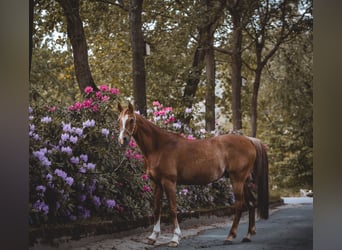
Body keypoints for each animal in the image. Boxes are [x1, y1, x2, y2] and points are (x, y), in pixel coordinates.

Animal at [117, 102, 270, 247]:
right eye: (119, 120)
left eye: (131, 120)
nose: (122, 139)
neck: (159, 147)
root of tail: (249, 140)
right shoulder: (157, 183)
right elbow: (156, 209)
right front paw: (153, 237)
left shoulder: (169, 182)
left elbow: (172, 209)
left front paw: (175, 238)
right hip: (243, 181)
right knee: (251, 203)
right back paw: (247, 235)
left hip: (237, 180)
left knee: (239, 205)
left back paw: (230, 236)